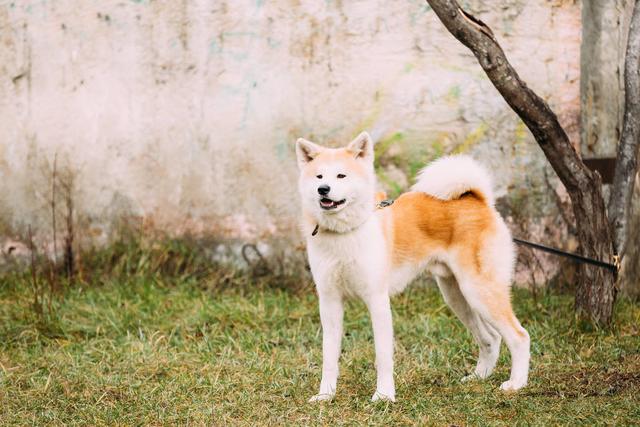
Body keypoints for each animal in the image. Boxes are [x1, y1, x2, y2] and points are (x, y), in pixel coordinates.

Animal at [296, 132, 528, 402]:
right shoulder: (330, 302)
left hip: (480, 292)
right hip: (457, 296)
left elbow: (383, 356)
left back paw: (516, 384)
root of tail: (477, 199)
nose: (323, 189)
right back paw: (478, 377)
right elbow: (329, 356)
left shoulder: (377, 300)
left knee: (519, 337)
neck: (345, 233)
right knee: (491, 338)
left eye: (341, 176)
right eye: (319, 176)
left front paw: (384, 396)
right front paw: (326, 395)